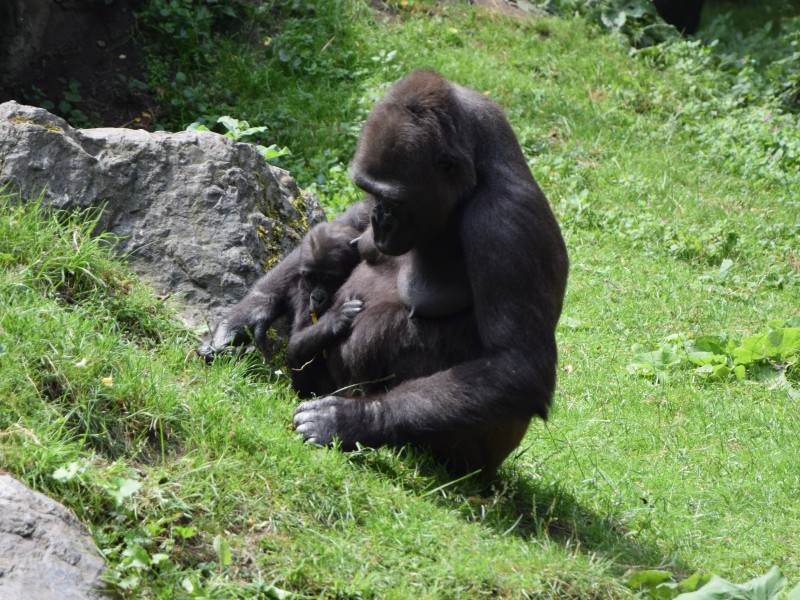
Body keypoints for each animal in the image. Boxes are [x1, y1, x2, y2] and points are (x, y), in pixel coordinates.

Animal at [203, 69, 572, 474]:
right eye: (371, 191)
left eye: (395, 199)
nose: (381, 219)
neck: (477, 178)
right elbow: (345, 225)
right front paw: (247, 311)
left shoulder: (504, 223)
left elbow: (516, 365)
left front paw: (353, 420)